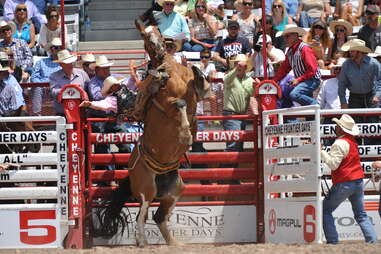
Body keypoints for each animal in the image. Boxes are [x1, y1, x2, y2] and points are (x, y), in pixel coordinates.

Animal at [93, 8, 211, 247]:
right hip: (146, 189)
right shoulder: (168, 103)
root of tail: (130, 175)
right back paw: (142, 242)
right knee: (142, 215)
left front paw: (198, 71)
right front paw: (186, 135)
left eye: (158, 30)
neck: (170, 69)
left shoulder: (195, 93)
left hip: (175, 191)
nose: (158, 47)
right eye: (144, 35)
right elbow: (180, 105)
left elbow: (200, 88)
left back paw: (174, 244)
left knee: (158, 217)